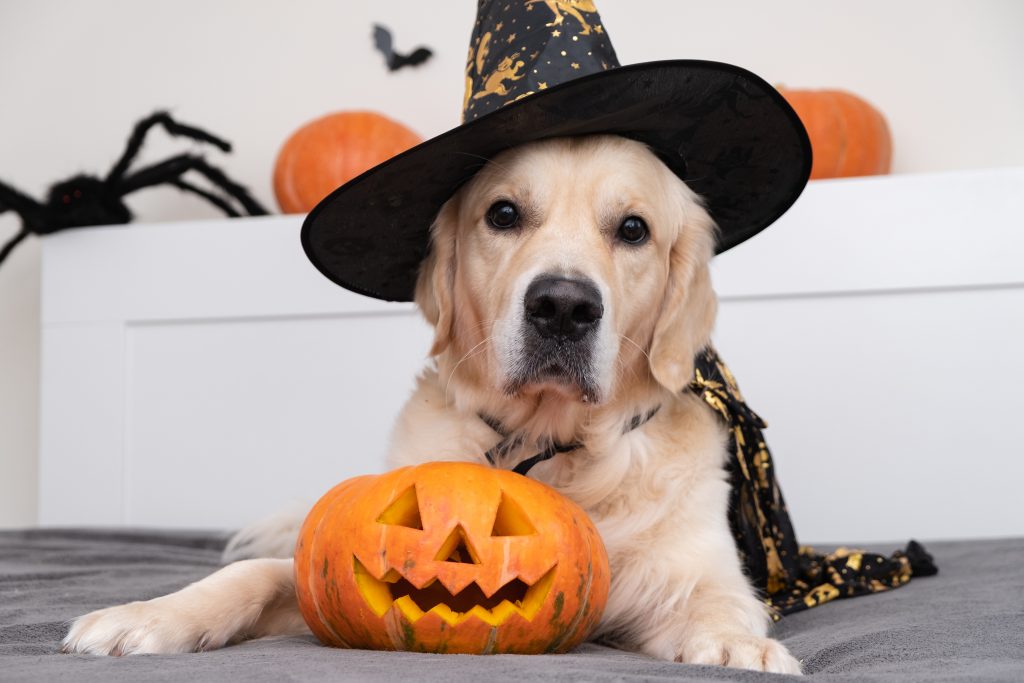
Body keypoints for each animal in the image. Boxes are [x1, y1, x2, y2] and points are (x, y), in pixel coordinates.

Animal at [59, 136, 802, 675]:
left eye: (633, 230)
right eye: (503, 214)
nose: (563, 306)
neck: (555, 450)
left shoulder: (693, 574)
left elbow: (720, 603)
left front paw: (743, 647)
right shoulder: (323, 580)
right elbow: (253, 575)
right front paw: (147, 615)